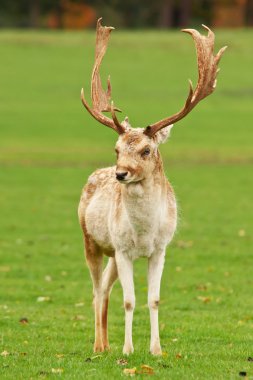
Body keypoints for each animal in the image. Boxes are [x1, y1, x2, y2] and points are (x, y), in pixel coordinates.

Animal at [78, 18, 226, 356]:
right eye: (117, 149)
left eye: (146, 150)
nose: (120, 174)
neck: (144, 232)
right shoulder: (124, 249)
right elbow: (130, 301)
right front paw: (128, 350)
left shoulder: (160, 249)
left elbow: (154, 299)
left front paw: (156, 350)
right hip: (91, 241)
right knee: (96, 290)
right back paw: (99, 346)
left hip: (111, 252)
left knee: (105, 289)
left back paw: (105, 344)